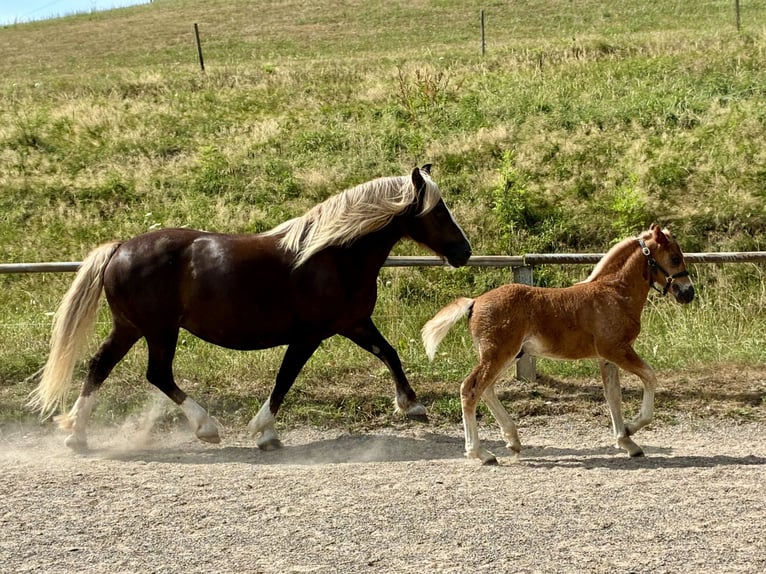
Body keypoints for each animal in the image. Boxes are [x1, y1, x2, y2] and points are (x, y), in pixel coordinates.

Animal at [29, 165, 472, 451]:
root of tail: (120, 247)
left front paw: (413, 406)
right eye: (437, 210)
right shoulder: (310, 334)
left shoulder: (354, 322)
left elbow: (389, 353)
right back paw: (206, 427)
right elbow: (285, 378)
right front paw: (265, 432)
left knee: (99, 367)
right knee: (156, 373)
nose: (464, 252)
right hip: (158, 330)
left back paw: (77, 435)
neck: (333, 255)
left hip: (130, 327)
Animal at [421, 224, 694, 465]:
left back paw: (512, 441)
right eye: (675, 258)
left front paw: (627, 442)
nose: (688, 293)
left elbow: (613, 396)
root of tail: (475, 301)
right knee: (471, 389)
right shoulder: (617, 349)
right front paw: (632, 427)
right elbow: (650, 377)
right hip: (498, 354)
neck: (615, 293)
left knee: (486, 390)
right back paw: (481, 453)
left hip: (506, 355)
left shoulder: (606, 357)